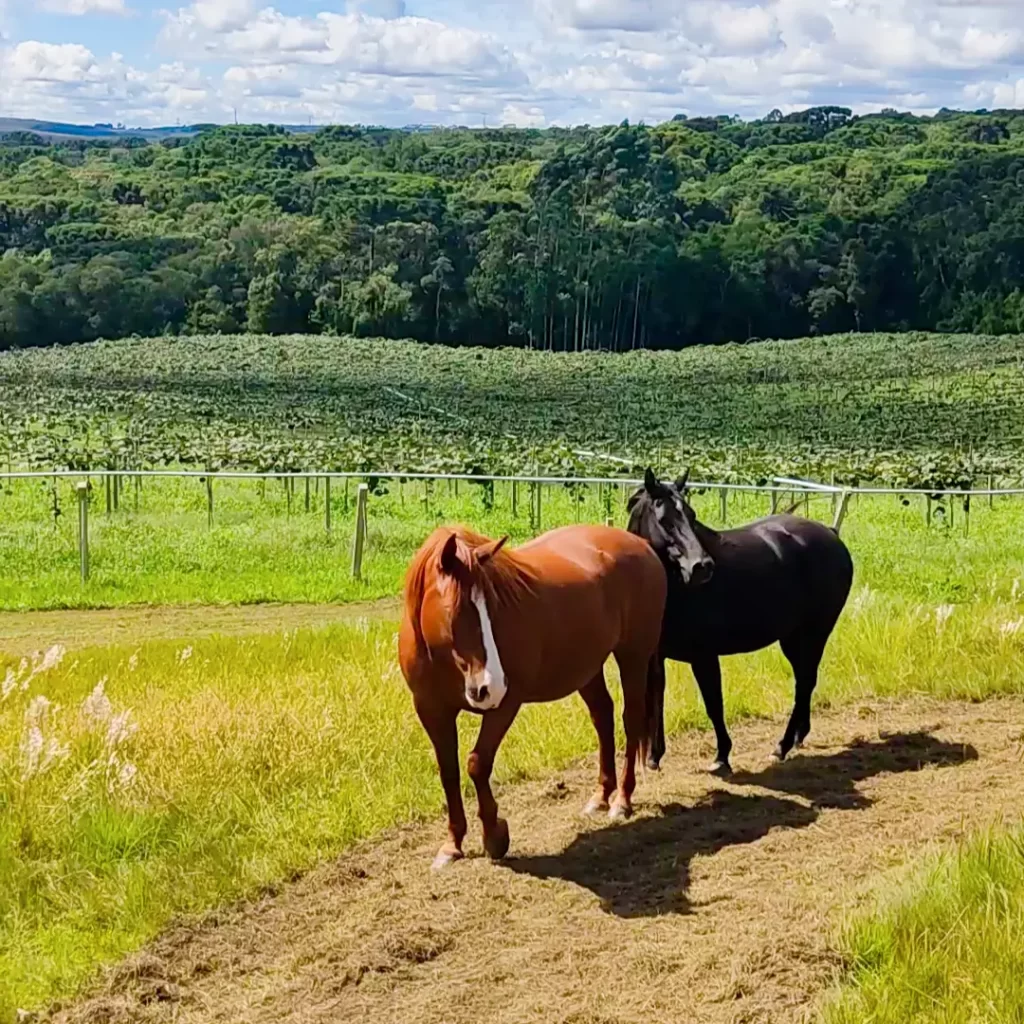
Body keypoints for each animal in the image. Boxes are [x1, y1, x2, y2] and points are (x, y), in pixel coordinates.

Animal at [395, 524, 667, 868]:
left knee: (630, 722)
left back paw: (622, 801)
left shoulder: (505, 705)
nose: (490, 685)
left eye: (491, 606)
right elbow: (449, 773)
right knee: (603, 717)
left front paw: (494, 836)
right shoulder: (431, 710)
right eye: (457, 611)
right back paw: (601, 797)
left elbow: (477, 764)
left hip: (633, 656)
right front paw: (452, 845)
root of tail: (643, 546)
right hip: (587, 668)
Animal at [626, 468, 851, 770]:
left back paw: (781, 746)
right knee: (804, 681)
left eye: (691, 514)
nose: (701, 567)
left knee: (805, 682)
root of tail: (831, 534)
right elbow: (656, 698)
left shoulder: (704, 655)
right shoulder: (656, 656)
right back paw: (797, 738)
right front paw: (654, 757)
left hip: (813, 634)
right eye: (664, 520)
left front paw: (722, 755)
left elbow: (713, 703)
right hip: (794, 638)